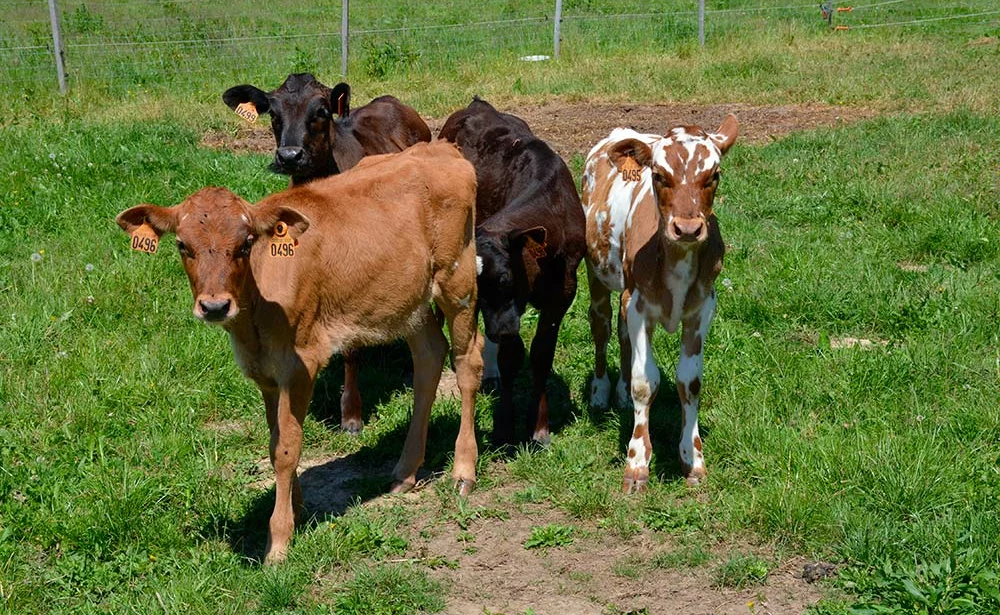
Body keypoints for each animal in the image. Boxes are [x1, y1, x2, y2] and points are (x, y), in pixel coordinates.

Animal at [117, 141, 484, 564]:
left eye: (245, 244)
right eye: (182, 245)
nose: (214, 306)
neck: (254, 317)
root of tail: (440, 147)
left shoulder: (301, 364)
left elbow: (288, 448)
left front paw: (279, 541)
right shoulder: (264, 374)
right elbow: (275, 441)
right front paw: (297, 507)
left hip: (458, 279)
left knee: (467, 361)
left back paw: (463, 470)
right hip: (409, 300)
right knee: (429, 356)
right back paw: (406, 470)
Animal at [584, 114, 740, 490]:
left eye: (713, 175)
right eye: (658, 175)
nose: (687, 228)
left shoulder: (701, 308)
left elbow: (690, 381)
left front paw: (693, 459)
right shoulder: (640, 304)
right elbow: (645, 381)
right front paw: (637, 463)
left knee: (622, 334)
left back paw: (621, 393)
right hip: (597, 272)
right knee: (602, 326)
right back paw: (601, 391)